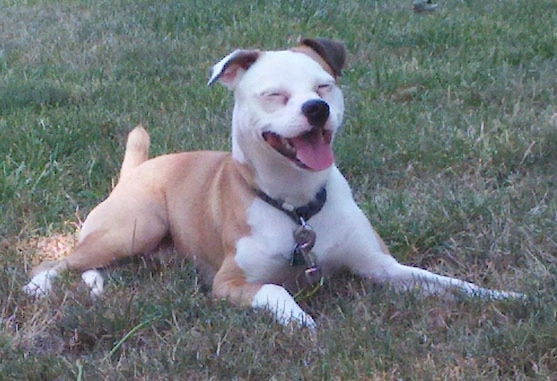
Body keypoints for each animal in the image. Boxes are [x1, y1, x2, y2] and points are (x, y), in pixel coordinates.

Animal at [23, 37, 520, 326]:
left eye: (324, 87)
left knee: (92, 267)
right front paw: (303, 323)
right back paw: (38, 289)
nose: (316, 110)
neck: (297, 205)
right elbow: (277, 290)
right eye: (275, 95)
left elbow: (448, 282)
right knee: (55, 262)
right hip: (136, 226)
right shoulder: (231, 284)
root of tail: (135, 171)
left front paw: (506, 296)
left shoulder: (384, 267)